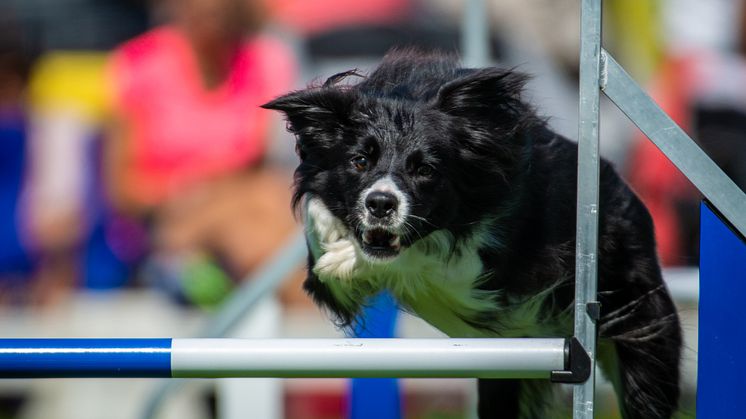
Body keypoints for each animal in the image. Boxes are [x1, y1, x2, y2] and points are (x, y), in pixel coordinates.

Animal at [264, 50, 680, 419]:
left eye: (425, 170)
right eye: (360, 161)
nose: (380, 203)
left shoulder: (494, 272)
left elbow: (425, 257)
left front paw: (344, 258)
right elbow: (320, 228)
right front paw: (335, 243)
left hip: (642, 338)